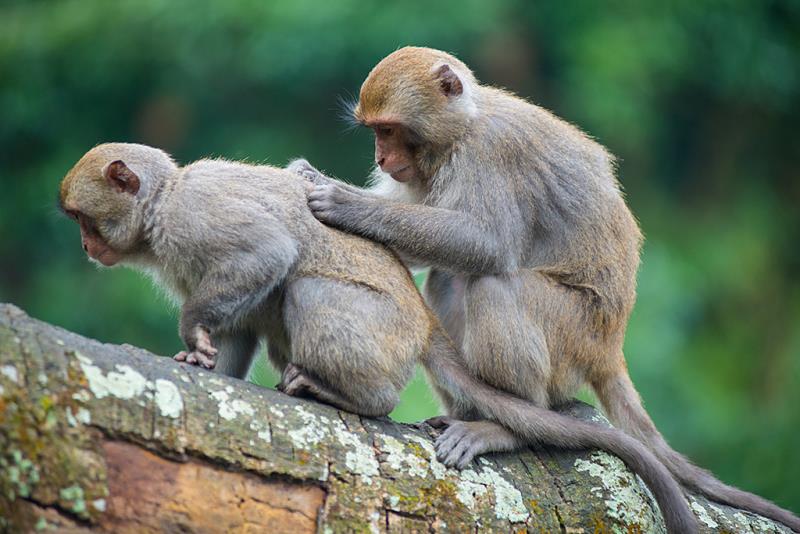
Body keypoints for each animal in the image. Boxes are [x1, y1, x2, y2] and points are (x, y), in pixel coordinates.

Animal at [61, 142, 692, 534]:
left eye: (85, 221)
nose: (87, 247)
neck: (161, 203)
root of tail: (422, 321)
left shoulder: (193, 219)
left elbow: (265, 254)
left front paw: (193, 329)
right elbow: (238, 327)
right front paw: (200, 361)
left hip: (381, 335)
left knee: (305, 290)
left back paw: (352, 397)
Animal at [294, 47, 800, 534]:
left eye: (390, 130)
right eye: (375, 132)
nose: (381, 158)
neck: (463, 128)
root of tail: (610, 347)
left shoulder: (490, 154)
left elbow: (486, 243)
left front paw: (343, 201)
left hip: (572, 335)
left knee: (490, 284)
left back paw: (512, 425)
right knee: (447, 278)